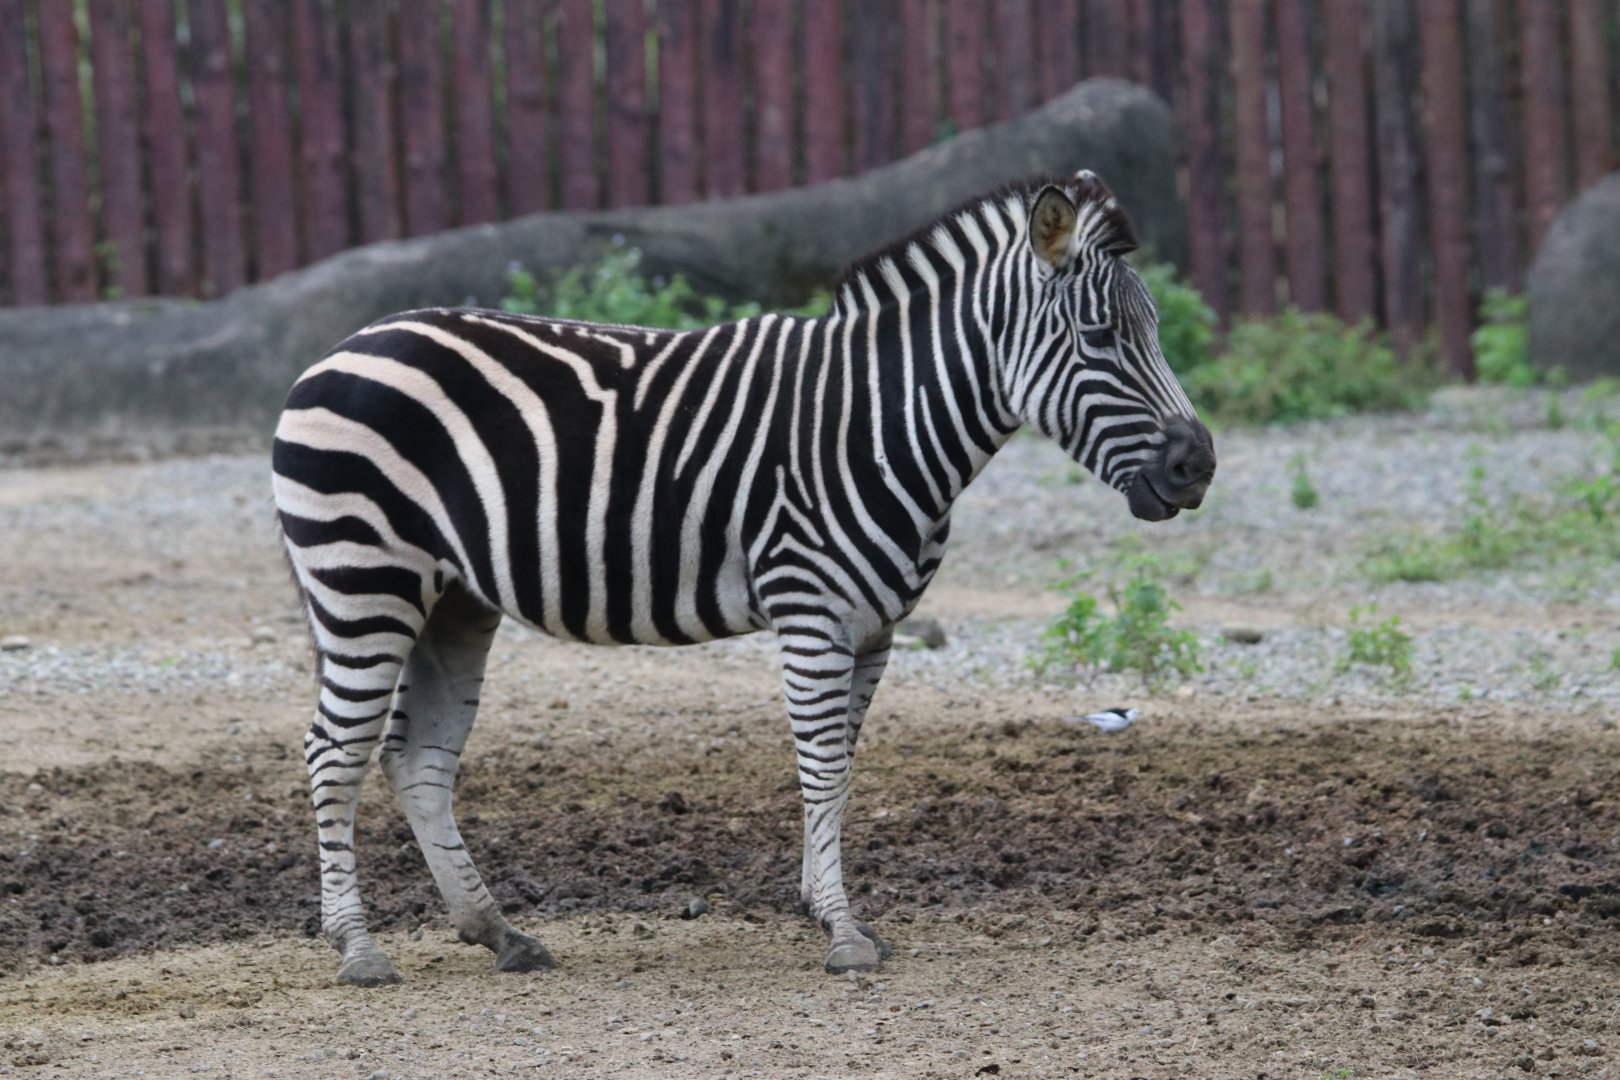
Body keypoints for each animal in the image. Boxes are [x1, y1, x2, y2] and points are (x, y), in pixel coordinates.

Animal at [271, 170, 1216, 985]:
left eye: (1149, 331)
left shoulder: (875, 628)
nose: (1197, 465)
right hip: (364, 582)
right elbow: (822, 767)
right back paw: (357, 949)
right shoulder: (812, 613)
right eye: (1100, 339)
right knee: (334, 751)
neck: (883, 422)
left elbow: (844, 767)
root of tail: (341, 348)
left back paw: (498, 932)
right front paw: (841, 930)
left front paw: (827, 909)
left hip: (453, 601)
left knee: (417, 756)